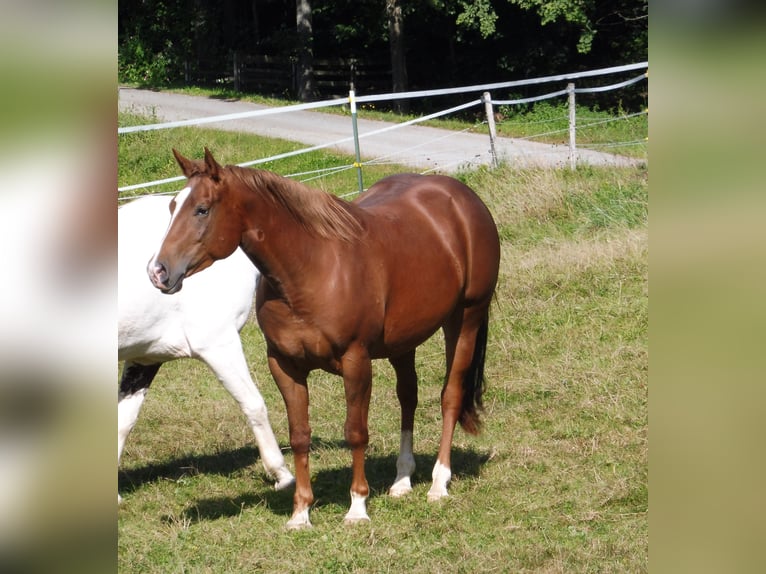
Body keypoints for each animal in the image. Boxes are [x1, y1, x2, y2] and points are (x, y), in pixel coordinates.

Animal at [118, 195, 294, 502]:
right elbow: (254, 404)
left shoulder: (143, 359)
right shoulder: (219, 344)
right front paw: (281, 475)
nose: (159, 274)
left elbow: (121, 423)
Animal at [148, 148, 500, 529]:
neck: (311, 269)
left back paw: (438, 483)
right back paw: (402, 480)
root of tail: (462, 197)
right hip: (403, 341)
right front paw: (300, 512)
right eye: (172, 206)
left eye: (202, 209)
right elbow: (300, 436)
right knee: (409, 396)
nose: (158, 271)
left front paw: (357, 507)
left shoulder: (356, 361)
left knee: (451, 396)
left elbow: (356, 432)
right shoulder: (285, 366)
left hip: (465, 319)